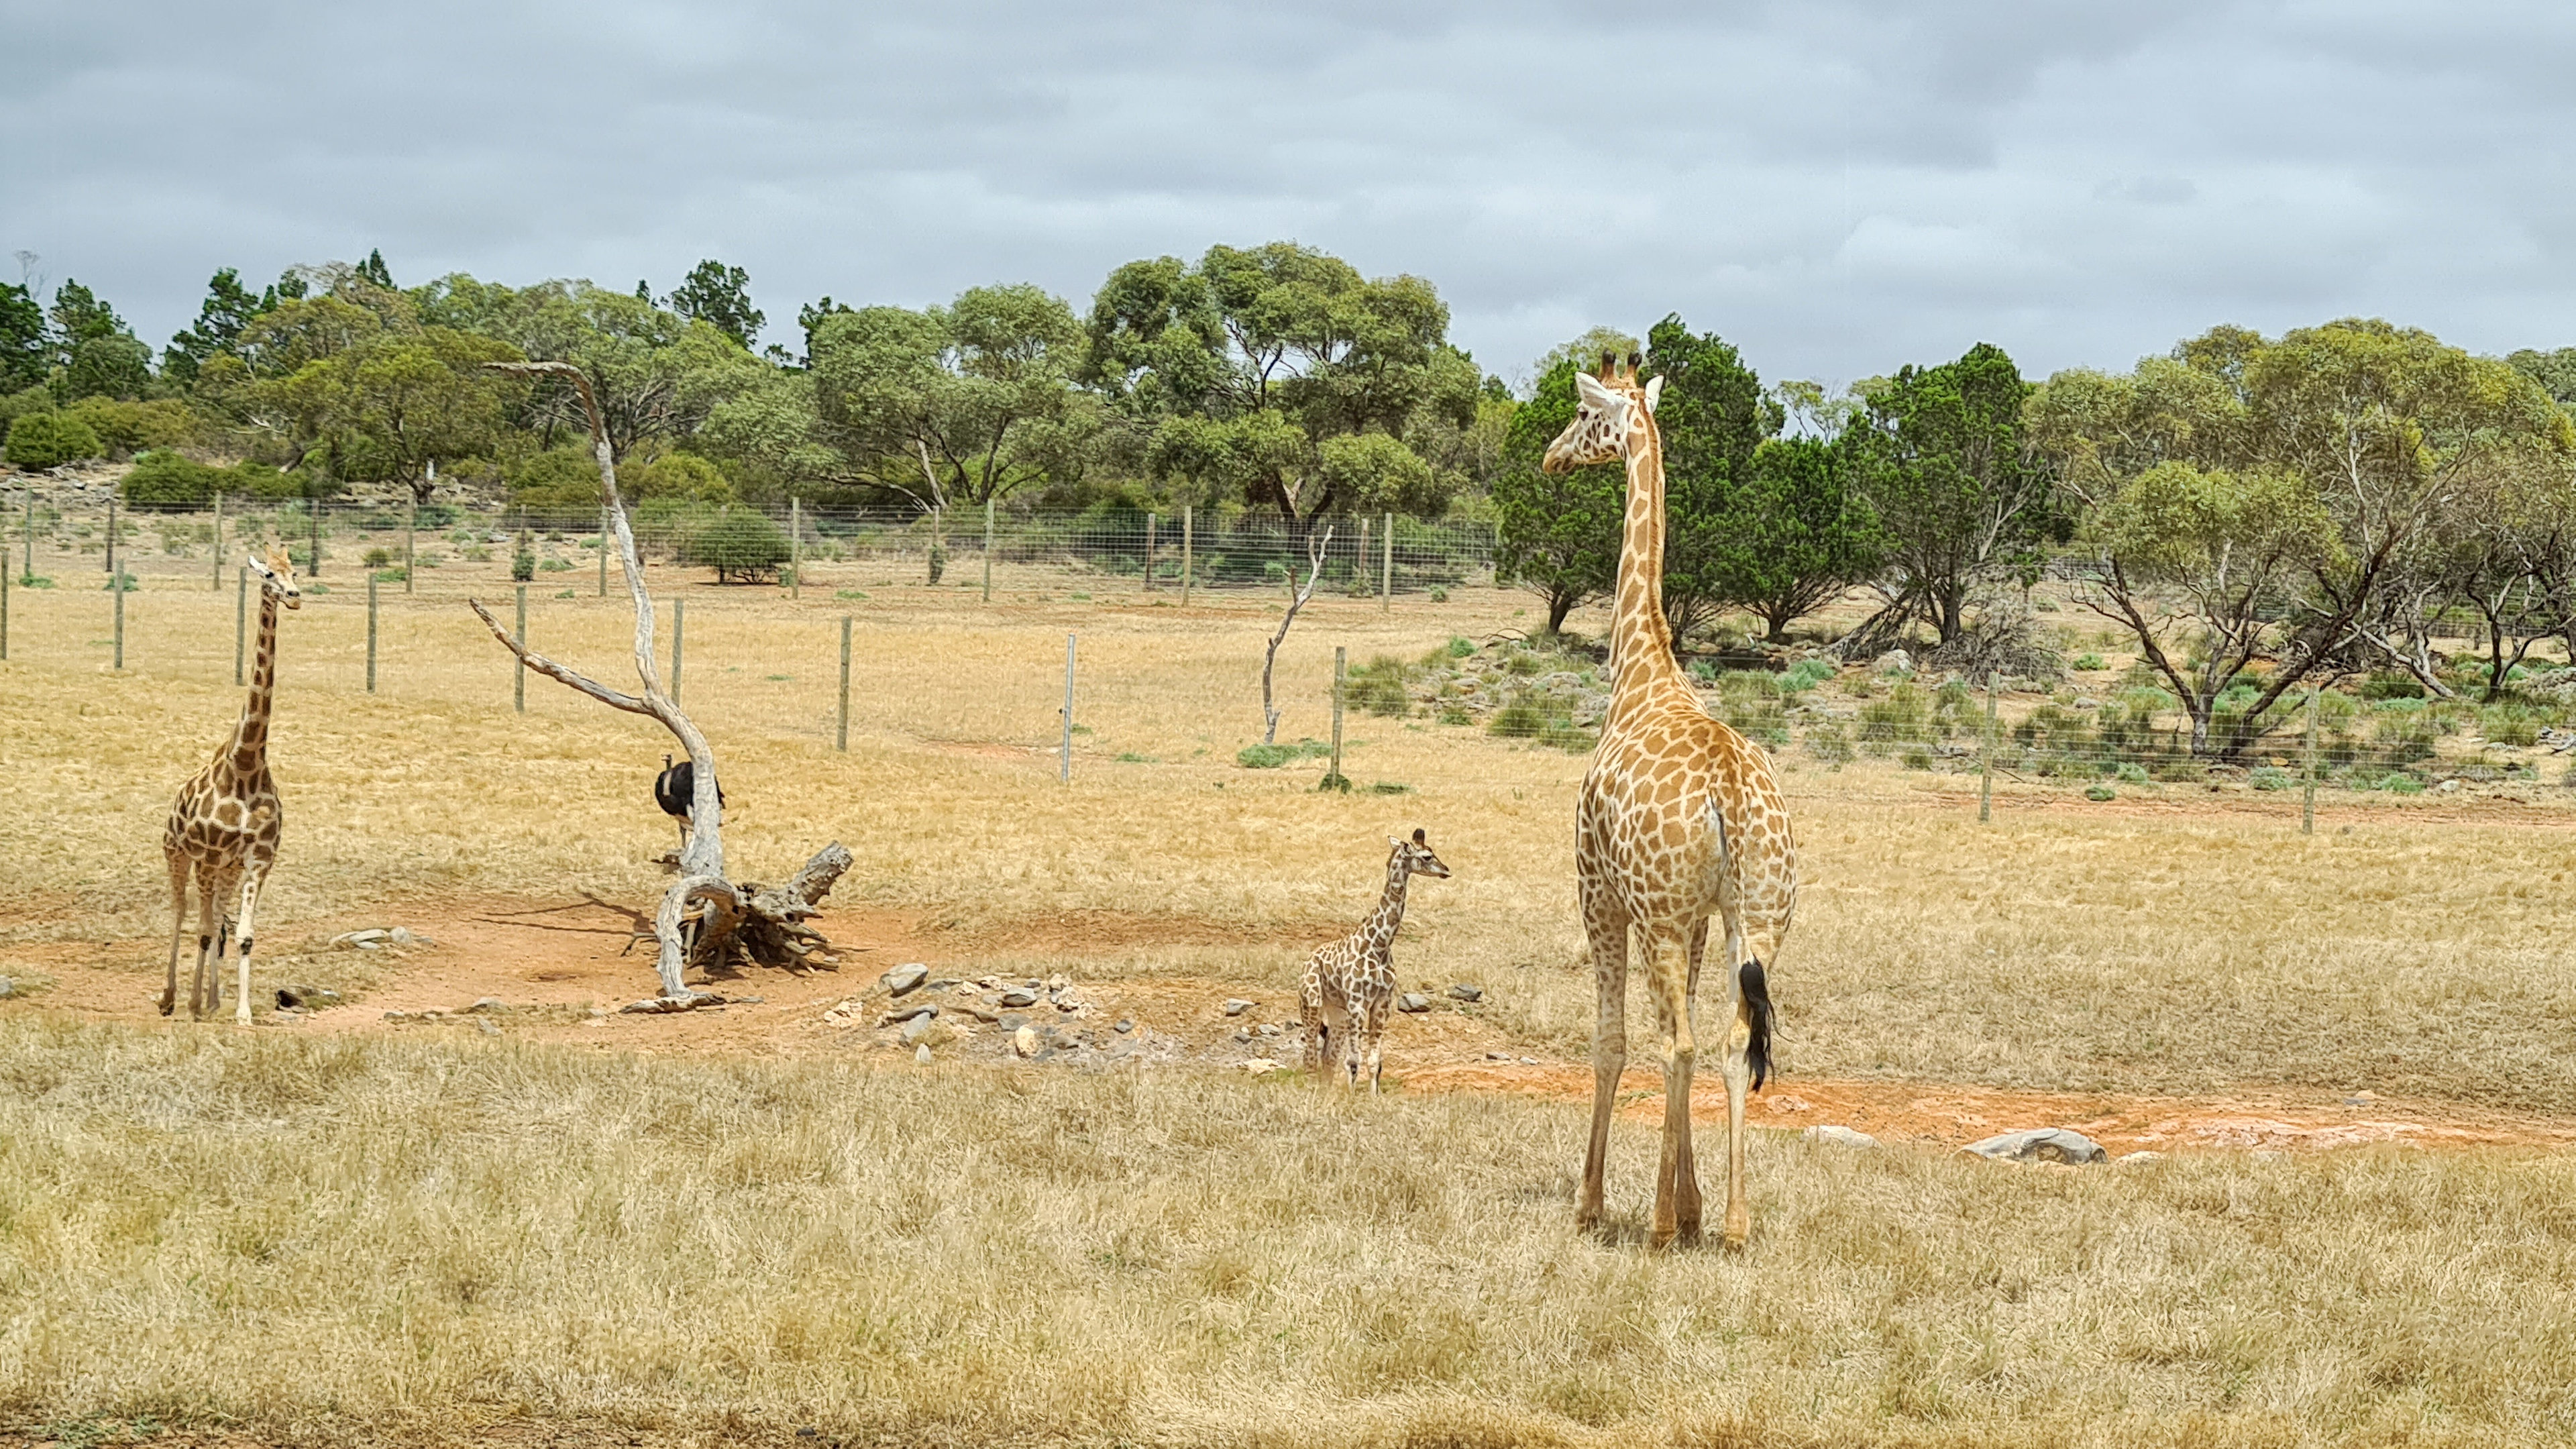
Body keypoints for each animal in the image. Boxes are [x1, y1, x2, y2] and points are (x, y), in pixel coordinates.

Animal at [161, 544, 301, 1024]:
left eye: (296, 572)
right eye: (268, 574)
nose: (294, 596)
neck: (245, 763)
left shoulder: (258, 859)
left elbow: (242, 935)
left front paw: (240, 1013)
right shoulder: (206, 857)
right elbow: (203, 930)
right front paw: (191, 1005)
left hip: (226, 868)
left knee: (217, 918)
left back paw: (213, 999)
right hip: (177, 854)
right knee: (182, 913)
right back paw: (171, 998)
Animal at [1299, 829, 1452, 1092]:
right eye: (1427, 856)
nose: (1447, 870)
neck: (1379, 945)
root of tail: (1306, 961)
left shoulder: (1382, 1003)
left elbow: (1374, 1061)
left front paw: (1372, 1097)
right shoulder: (1358, 1002)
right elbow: (1353, 1060)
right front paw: (1351, 1097)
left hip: (1337, 1011)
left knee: (1327, 1056)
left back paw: (1326, 1092)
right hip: (1312, 1002)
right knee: (1310, 1055)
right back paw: (1313, 1092)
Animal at [1544, 351, 1797, 1250]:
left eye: (1585, 416)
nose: (1550, 457)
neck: (1639, 670)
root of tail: (1728, 795)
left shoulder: (1600, 894)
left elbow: (1611, 1042)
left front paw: (1594, 1203)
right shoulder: (1695, 919)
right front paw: (1690, 1206)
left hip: (1655, 912)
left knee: (1677, 1044)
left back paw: (1657, 1225)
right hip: (1761, 915)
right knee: (1731, 1041)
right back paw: (1731, 1222)